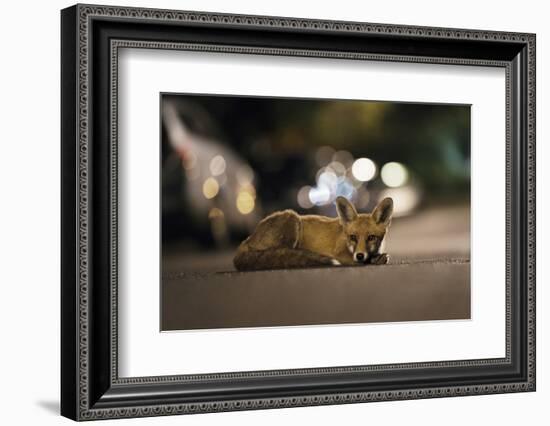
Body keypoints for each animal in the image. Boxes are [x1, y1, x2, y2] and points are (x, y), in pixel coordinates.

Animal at [235, 196, 394, 270]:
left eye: (371, 237)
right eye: (353, 237)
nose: (360, 255)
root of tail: (245, 241)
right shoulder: (340, 254)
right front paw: (374, 260)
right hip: (292, 218)